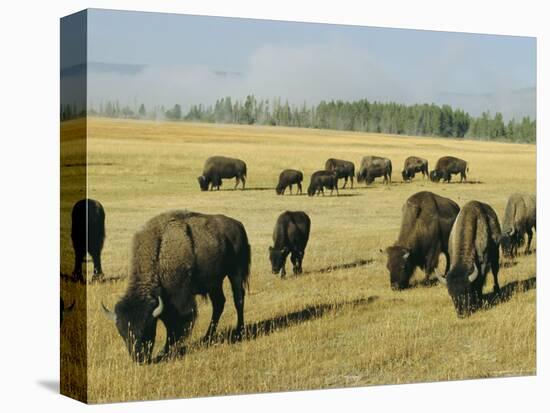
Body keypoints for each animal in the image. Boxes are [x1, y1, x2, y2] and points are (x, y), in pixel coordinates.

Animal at [102, 211, 251, 362]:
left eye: (147, 329)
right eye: (122, 333)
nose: (139, 358)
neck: (160, 254)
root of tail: (238, 225)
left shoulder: (180, 301)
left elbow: (176, 325)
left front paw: (164, 351)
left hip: (235, 272)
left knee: (238, 299)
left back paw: (239, 332)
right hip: (215, 283)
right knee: (219, 304)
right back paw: (207, 338)